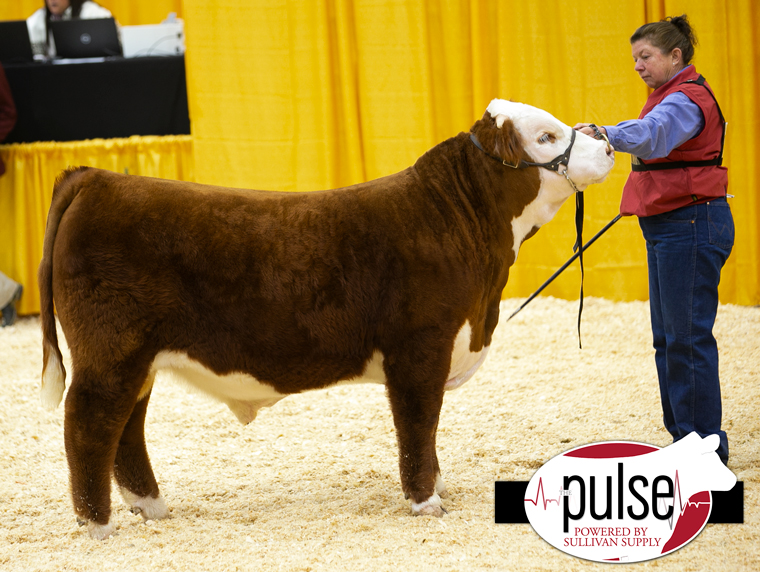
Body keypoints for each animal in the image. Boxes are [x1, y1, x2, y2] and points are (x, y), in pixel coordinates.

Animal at [38, 98, 616, 536]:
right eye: (545, 136)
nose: (609, 144)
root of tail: (95, 178)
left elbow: (426, 431)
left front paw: (437, 486)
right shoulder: (419, 348)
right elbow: (418, 425)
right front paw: (426, 500)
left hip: (139, 360)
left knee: (125, 429)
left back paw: (152, 508)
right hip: (110, 353)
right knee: (89, 424)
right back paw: (98, 526)